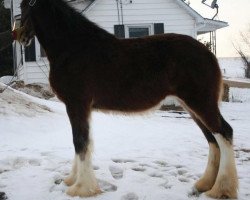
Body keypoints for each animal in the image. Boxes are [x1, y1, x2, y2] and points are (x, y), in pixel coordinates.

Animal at [19, 0, 238, 198]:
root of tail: (208, 54)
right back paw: (205, 184)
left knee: (224, 133)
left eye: (24, 6)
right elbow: (83, 141)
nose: (20, 36)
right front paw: (74, 180)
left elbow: (79, 142)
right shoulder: (80, 107)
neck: (73, 48)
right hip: (192, 106)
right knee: (212, 139)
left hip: (200, 103)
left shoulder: (76, 104)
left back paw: (221, 189)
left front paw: (81, 188)